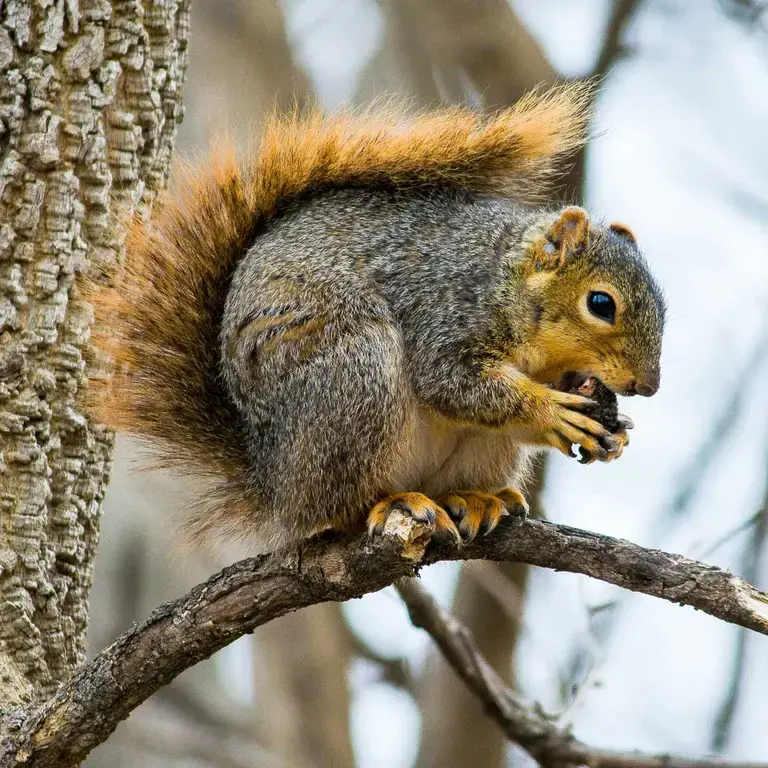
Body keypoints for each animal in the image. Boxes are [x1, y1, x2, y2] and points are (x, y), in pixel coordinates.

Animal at [91, 81, 665, 549]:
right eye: (601, 304)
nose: (648, 386)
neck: (508, 281)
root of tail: (275, 484)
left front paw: (614, 431)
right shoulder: (444, 308)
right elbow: (453, 383)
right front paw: (552, 411)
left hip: (480, 449)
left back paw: (475, 499)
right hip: (356, 378)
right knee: (339, 508)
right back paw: (390, 502)